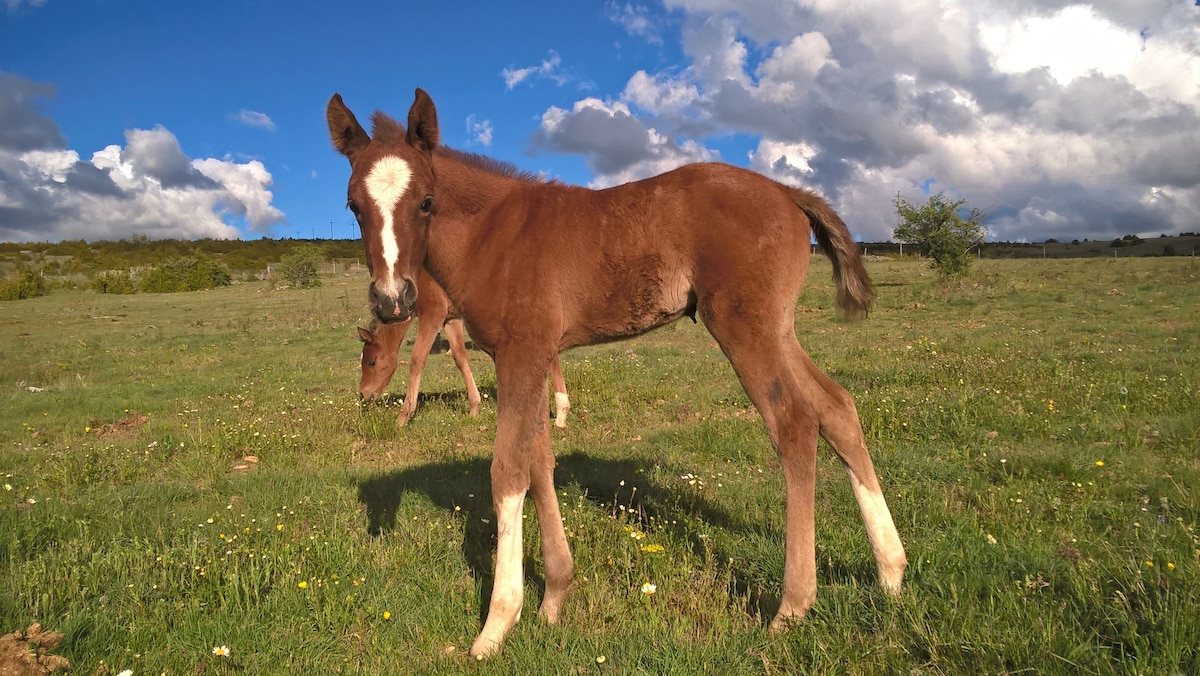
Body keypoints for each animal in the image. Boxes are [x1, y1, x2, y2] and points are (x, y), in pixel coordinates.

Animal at [355, 267, 571, 425]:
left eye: (372, 362)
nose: (363, 394)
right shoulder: (450, 318)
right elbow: (459, 357)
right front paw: (474, 407)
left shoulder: (432, 313)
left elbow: (417, 360)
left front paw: (403, 416)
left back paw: (560, 412)